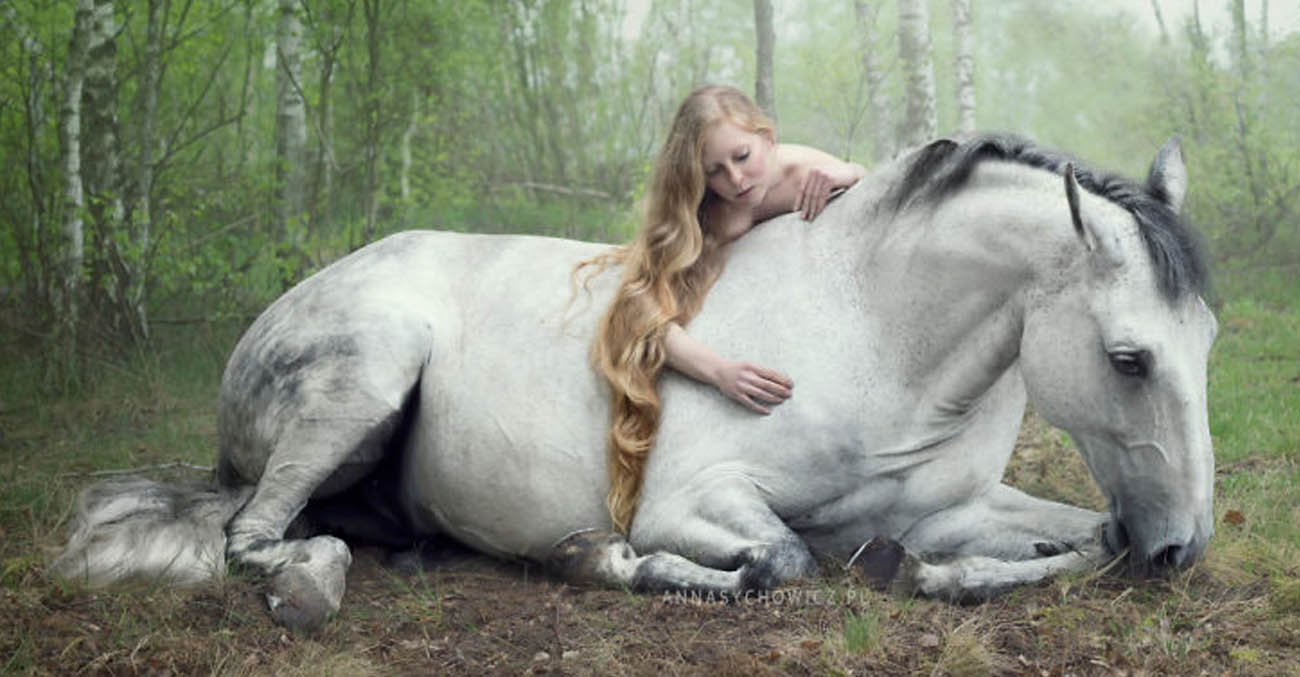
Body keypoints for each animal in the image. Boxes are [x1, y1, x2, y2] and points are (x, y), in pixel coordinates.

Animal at [53, 133, 1216, 634]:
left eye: (1204, 339)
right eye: (1128, 357)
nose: (1183, 550)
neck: (875, 329)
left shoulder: (954, 505)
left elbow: (1081, 542)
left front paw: (928, 573)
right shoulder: (689, 501)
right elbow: (782, 559)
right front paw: (607, 559)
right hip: (361, 380)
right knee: (252, 534)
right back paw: (309, 585)